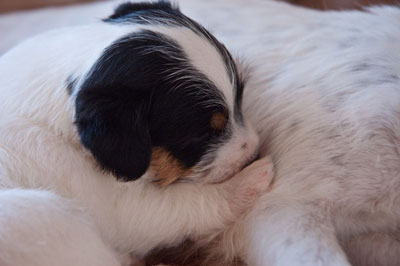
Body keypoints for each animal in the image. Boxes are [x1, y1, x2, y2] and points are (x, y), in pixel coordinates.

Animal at [0, 2, 274, 266]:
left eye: (240, 99)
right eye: (200, 137)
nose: (254, 152)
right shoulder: (131, 210)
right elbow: (195, 203)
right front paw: (253, 176)